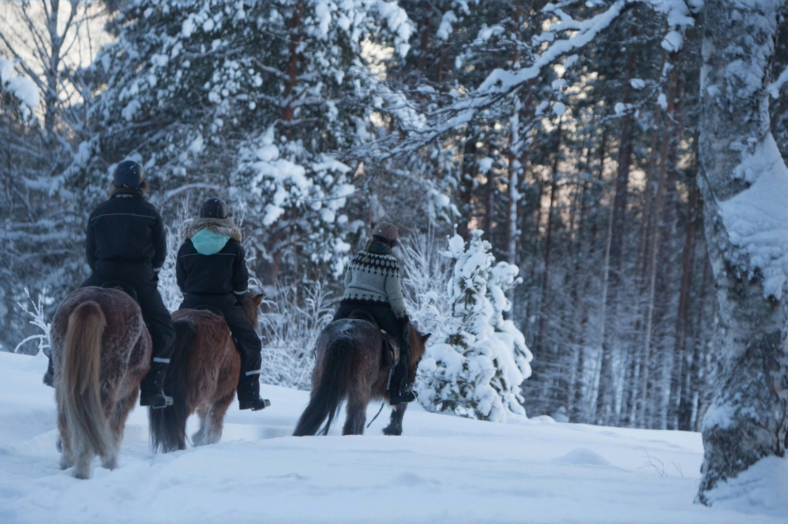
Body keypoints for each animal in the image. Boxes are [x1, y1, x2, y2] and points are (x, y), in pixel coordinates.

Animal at [50, 286, 151, 479]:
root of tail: (91, 303)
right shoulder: (127, 396)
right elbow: (114, 431)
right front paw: (110, 464)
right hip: (106, 386)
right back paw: (82, 471)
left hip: (62, 380)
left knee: (65, 421)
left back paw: (67, 463)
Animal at [148, 293, 264, 452]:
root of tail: (186, 323)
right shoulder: (224, 396)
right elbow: (214, 421)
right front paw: (206, 440)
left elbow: (204, 415)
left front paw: (199, 437)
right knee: (179, 414)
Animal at [293, 318, 429, 436]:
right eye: (419, 360)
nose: (411, 381)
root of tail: (346, 334)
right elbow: (401, 406)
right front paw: (393, 430)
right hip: (360, 388)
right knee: (356, 418)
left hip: (320, 380)